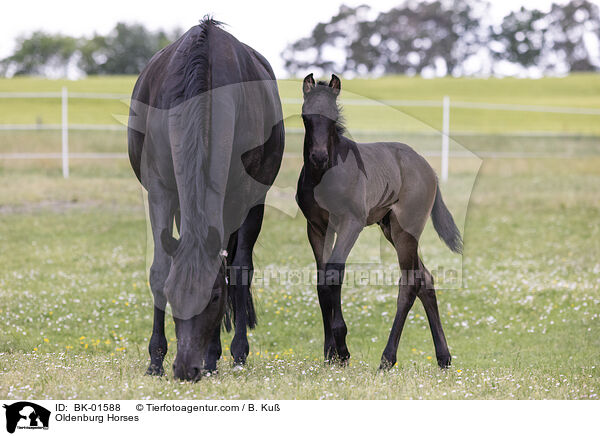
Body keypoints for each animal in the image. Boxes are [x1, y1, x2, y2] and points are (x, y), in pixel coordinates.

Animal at [126, 19, 284, 382]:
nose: (186, 368)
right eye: (172, 295)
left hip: (254, 203)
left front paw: (215, 355)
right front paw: (155, 358)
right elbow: (159, 269)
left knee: (240, 268)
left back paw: (236, 352)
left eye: (212, 298)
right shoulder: (160, 190)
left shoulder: (237, 198)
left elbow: (230, 273)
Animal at [298, 75, 462, 372]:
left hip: (405, 230)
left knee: (410, 282)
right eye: (306, 117)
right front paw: (329, 352)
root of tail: (429, 169)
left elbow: (334, 273)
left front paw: (342, 350)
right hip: (389, 229)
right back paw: (443, 358)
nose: (318, 157)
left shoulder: (351, 222)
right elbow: (321, 279)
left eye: (333, 117)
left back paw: (387, 359)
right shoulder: (316, 226)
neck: (323, 177)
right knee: (425, 278)